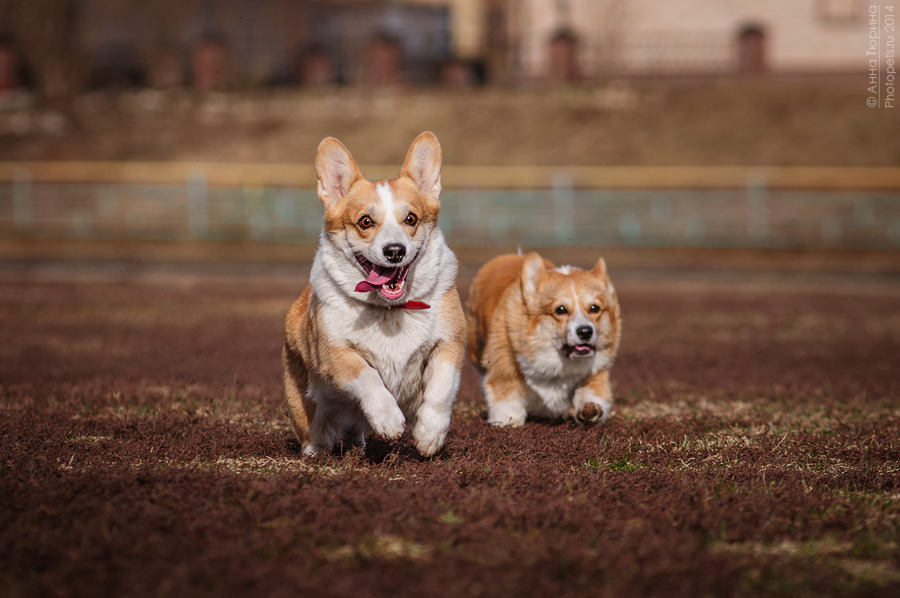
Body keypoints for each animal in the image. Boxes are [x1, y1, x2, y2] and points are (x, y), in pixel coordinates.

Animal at [280, 134, 464, 458]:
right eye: (366, 222)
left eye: (411, 219)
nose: (395, 251)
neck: (390, 310)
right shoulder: (337, 354)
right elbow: (369, 377)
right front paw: (388, 419)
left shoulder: (449, 344)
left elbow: (441, 390)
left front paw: (429, 434)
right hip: (305, 402)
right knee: (318, 430)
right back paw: (317, 450)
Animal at [468, 255, 624, 428]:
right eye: (560, 310)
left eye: (594, 308)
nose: (585, 332)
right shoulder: (504, 365)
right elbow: (507, 396)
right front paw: (507, 422)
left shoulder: (596, 369)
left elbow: (593, 391)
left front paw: (590, 409)